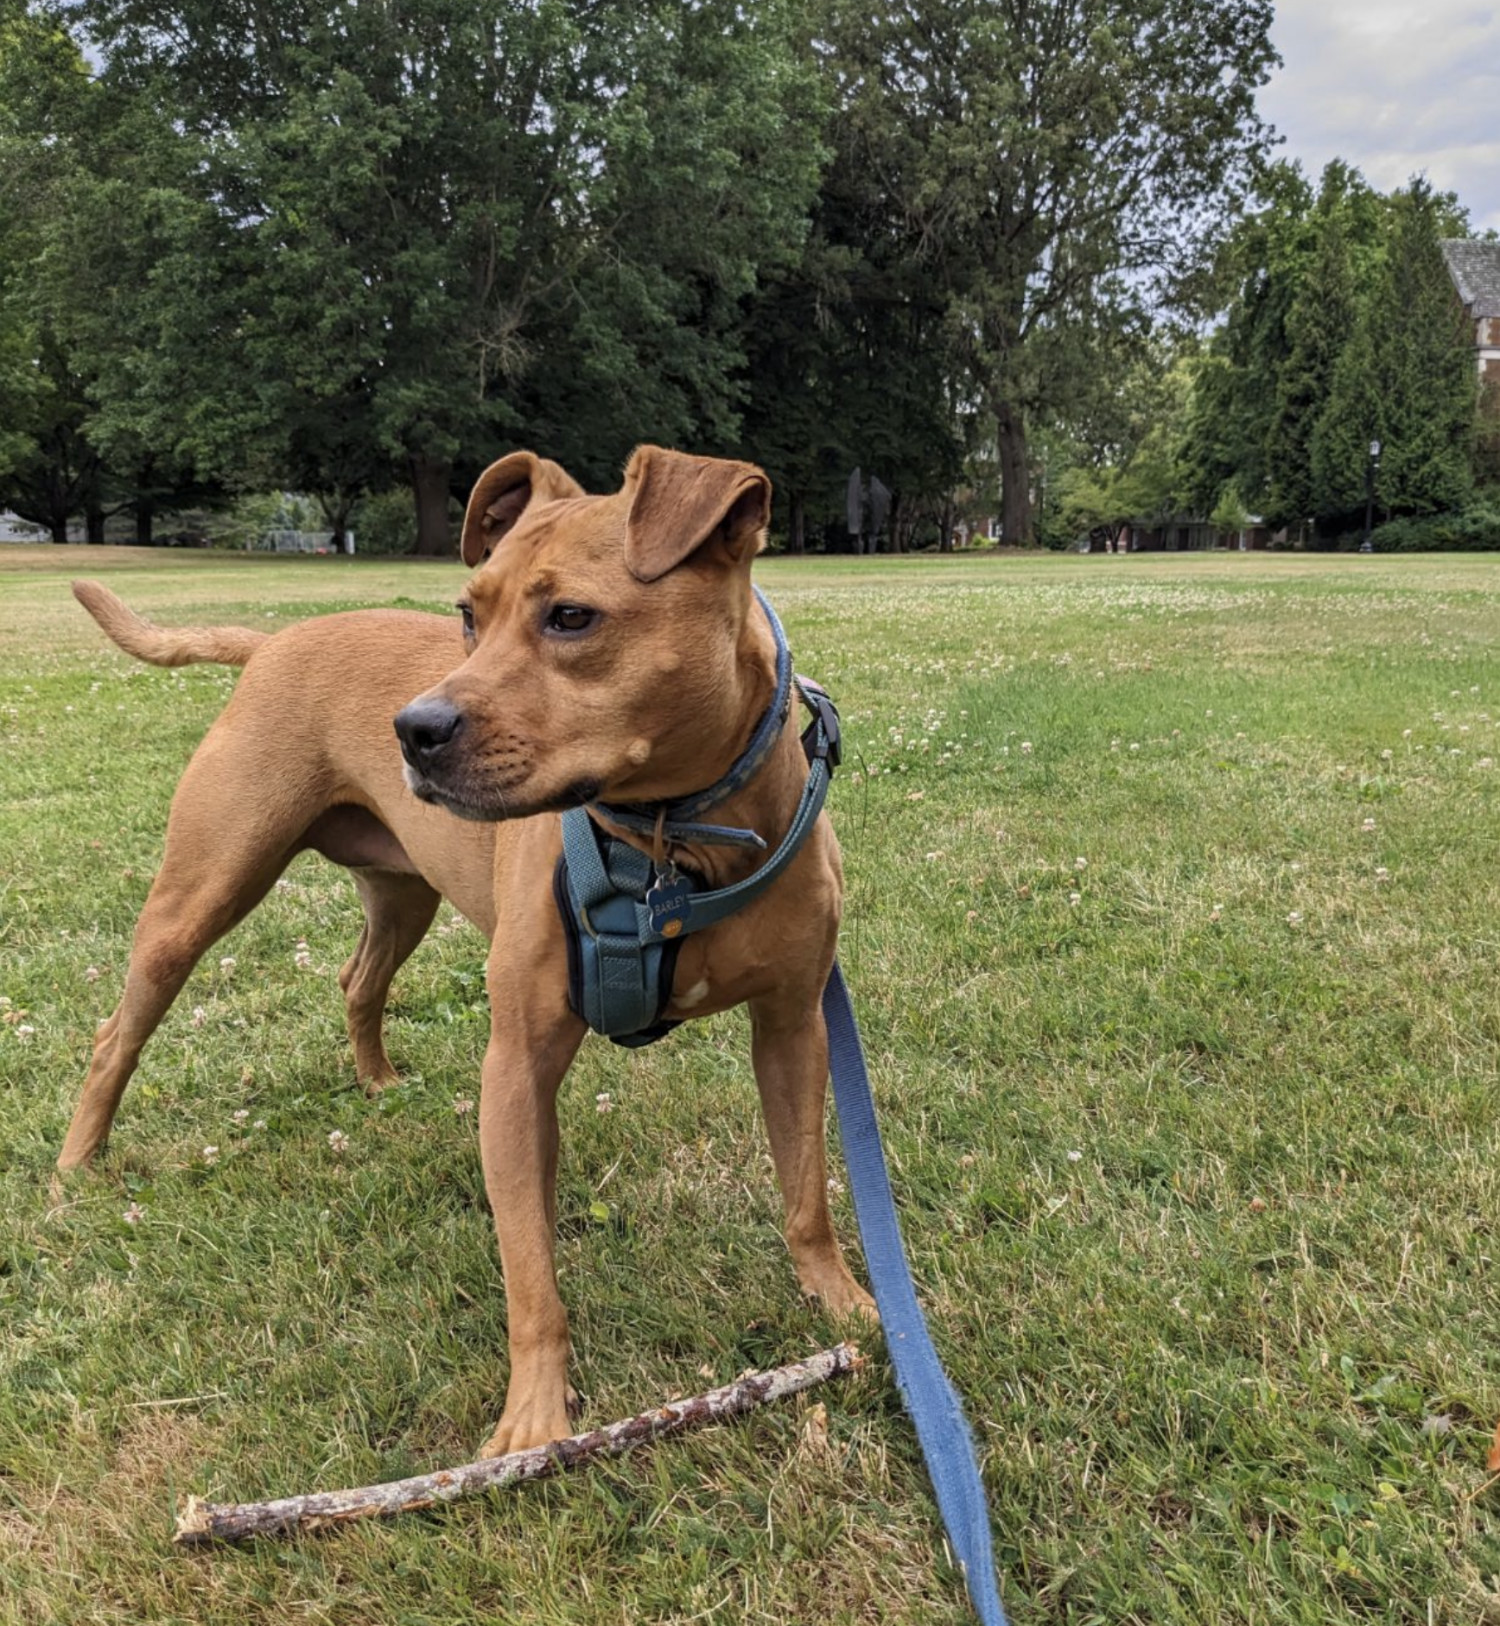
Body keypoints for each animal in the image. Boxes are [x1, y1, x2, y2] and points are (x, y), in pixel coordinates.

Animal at [61, 448, 877, 1463]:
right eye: (466, 614)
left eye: (570, 617)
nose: (413, 729)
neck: (672, 841)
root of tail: (272, 644)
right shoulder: (518, 1067)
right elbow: (529, 1272)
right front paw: (534, 1421)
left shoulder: (793, 1028)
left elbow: (807, 1190)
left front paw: (842, 1301)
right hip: (200, 895)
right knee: (117, 1032)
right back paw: (75, 1165)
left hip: (400, 894)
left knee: (357, 979)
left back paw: (375, 1082)